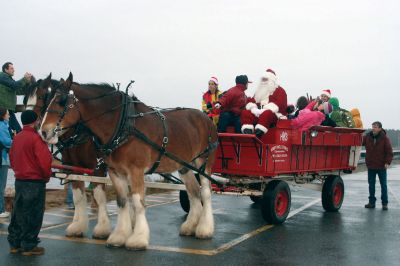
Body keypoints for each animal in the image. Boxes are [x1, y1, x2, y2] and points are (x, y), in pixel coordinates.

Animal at [39, 73, 217, 249]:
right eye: (47, 100)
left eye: (62, 101)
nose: (43, 132)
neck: (123, 125)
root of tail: (205, 118)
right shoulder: (115, 171)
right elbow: (122, 201)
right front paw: (119, 235)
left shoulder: (135, 170)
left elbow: (138, 202)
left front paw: (138, 238)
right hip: (184, 165)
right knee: (193, 192)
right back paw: (190, 226)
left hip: (204, 162)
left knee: (206, 192)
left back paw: (205, 228)